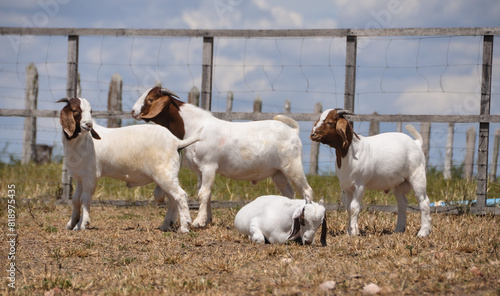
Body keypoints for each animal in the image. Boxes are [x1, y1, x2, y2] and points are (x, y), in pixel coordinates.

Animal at [57, 98, 201, 232]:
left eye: (90, 111)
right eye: (76, 110)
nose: (88, 124)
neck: (81, 141)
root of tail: (176, 142)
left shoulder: (90, 175)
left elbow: (84, 199)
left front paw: (82, 224)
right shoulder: (80, 177)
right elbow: (76, 200)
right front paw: (71, 224)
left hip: (164, 174)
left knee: (180, 195)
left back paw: (184, 227)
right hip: (167, 175)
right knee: (172, 199)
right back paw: (166, 225)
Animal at [131, 86, 314, 228]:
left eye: (150, 99)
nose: (133, 111)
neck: (196, 127)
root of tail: (293, 131)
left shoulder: (209, 166)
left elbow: (203, 193)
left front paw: (198, 222)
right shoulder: (200, 170)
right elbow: (205, 193)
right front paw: (207, 220)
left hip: (293, 165)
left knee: (307, 191)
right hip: (278, 172)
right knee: (289, 193)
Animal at [308, 108, 430, 236]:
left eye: (329, 122)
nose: (313, 135)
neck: (351, 152)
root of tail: (416, 143)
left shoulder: (359, 185)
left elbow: (354, 207)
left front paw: (354, 232)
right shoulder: (347, 187)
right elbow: (348, 208)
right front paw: (349, 231)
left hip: (417, 176)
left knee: (424, 202)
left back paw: (423, 232)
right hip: (397, 183)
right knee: (402, 203)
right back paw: (398, 229)